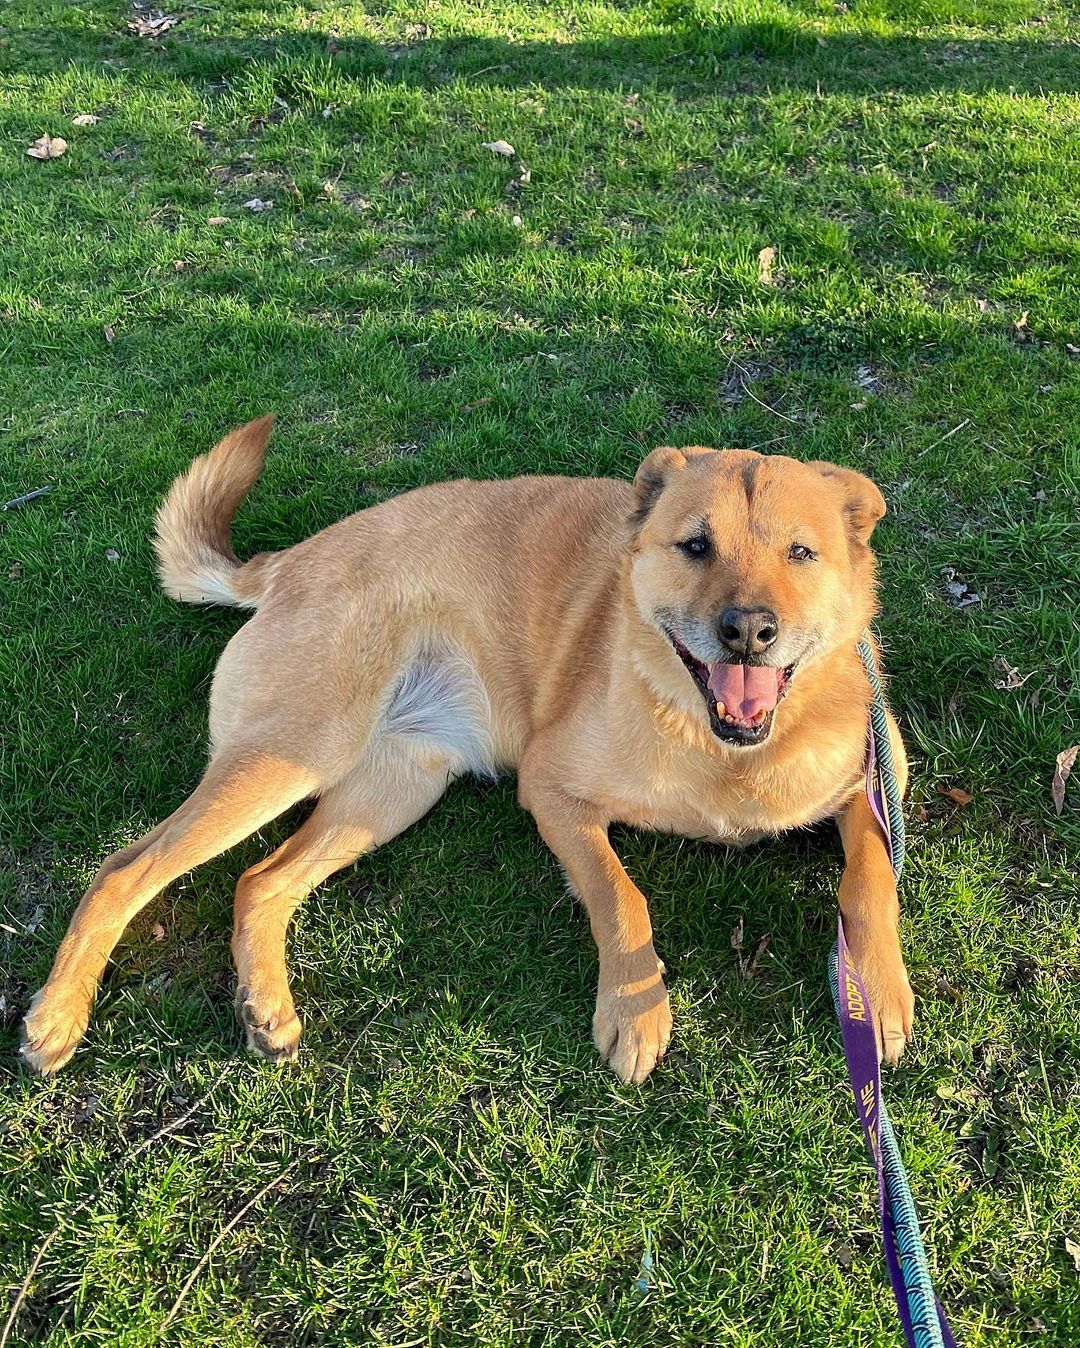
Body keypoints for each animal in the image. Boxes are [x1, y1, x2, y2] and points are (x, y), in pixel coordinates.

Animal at [18, 415, 911, 1078]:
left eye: (801, 552)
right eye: (695, 545)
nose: (749, 630)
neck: (732, 752)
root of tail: (288, 561)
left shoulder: (878, 778)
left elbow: (871, 874)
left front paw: (876, 990)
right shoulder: (552, 790)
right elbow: (621, 896)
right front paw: (636, 1007)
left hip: (388, 790)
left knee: (259, 882)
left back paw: (266, 1004)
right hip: (294, 751)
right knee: (125, 868)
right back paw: (57, 1018)